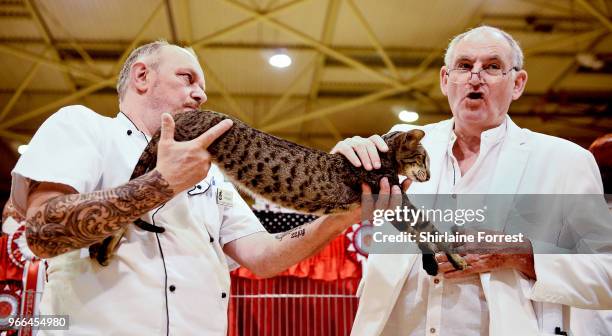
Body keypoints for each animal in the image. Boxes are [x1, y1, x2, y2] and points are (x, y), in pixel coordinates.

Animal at [88, 109, 466, 274]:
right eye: (424, 158)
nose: (429, 173)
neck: (384, 156)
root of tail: (186, 113)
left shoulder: (391, 203)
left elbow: (420, 235)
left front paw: (435, 261)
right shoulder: (395, 198)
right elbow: (428, 228)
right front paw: (455, 256)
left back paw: (103, 249)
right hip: (170, 162)